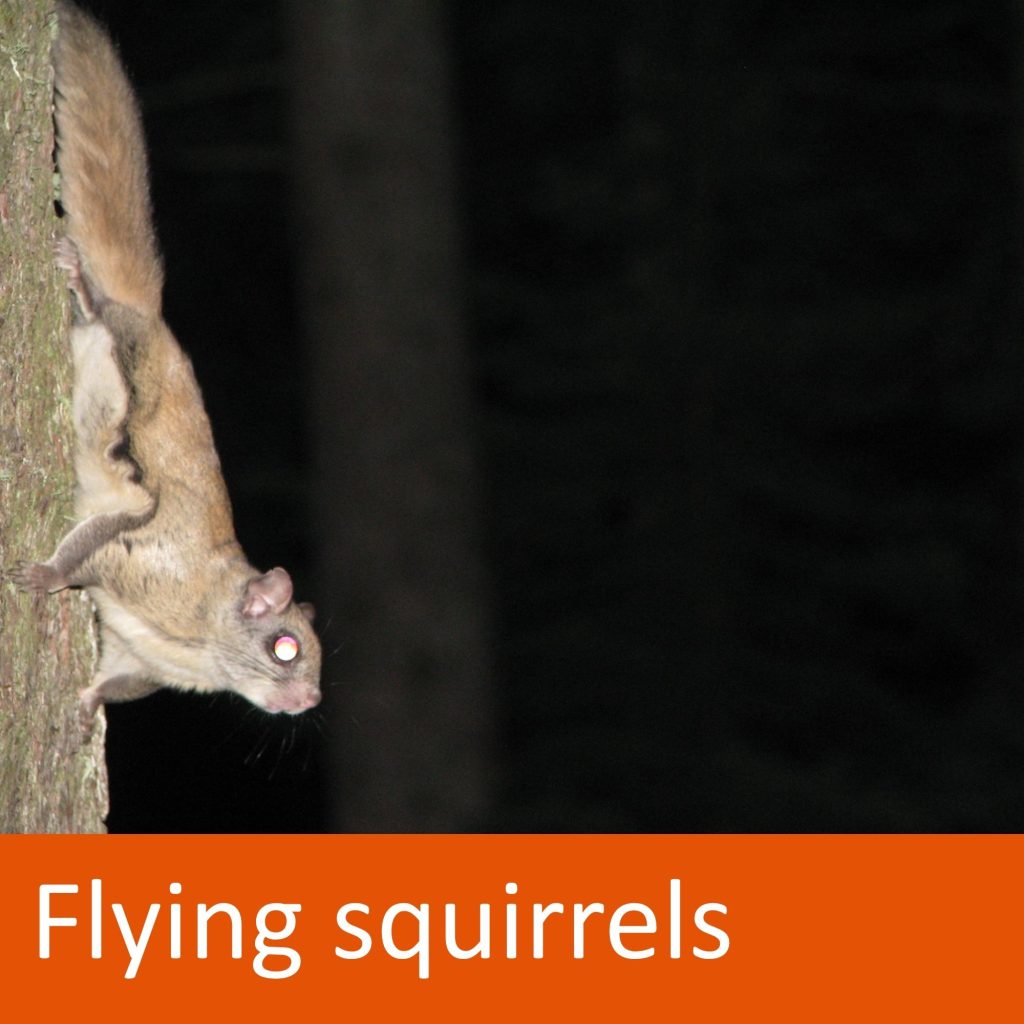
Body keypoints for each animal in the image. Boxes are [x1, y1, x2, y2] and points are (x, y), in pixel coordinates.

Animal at [10, 2, 321, 736]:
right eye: (285, 646)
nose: (310, 702)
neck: (204, 639)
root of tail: (156, 321)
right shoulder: (138, 554)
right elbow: (85, 552)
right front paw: (45, 577)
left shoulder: (139, 661)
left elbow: (114, 683)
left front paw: (85, 707)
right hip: (124, 349)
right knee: (104, 315)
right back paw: (86, 285)